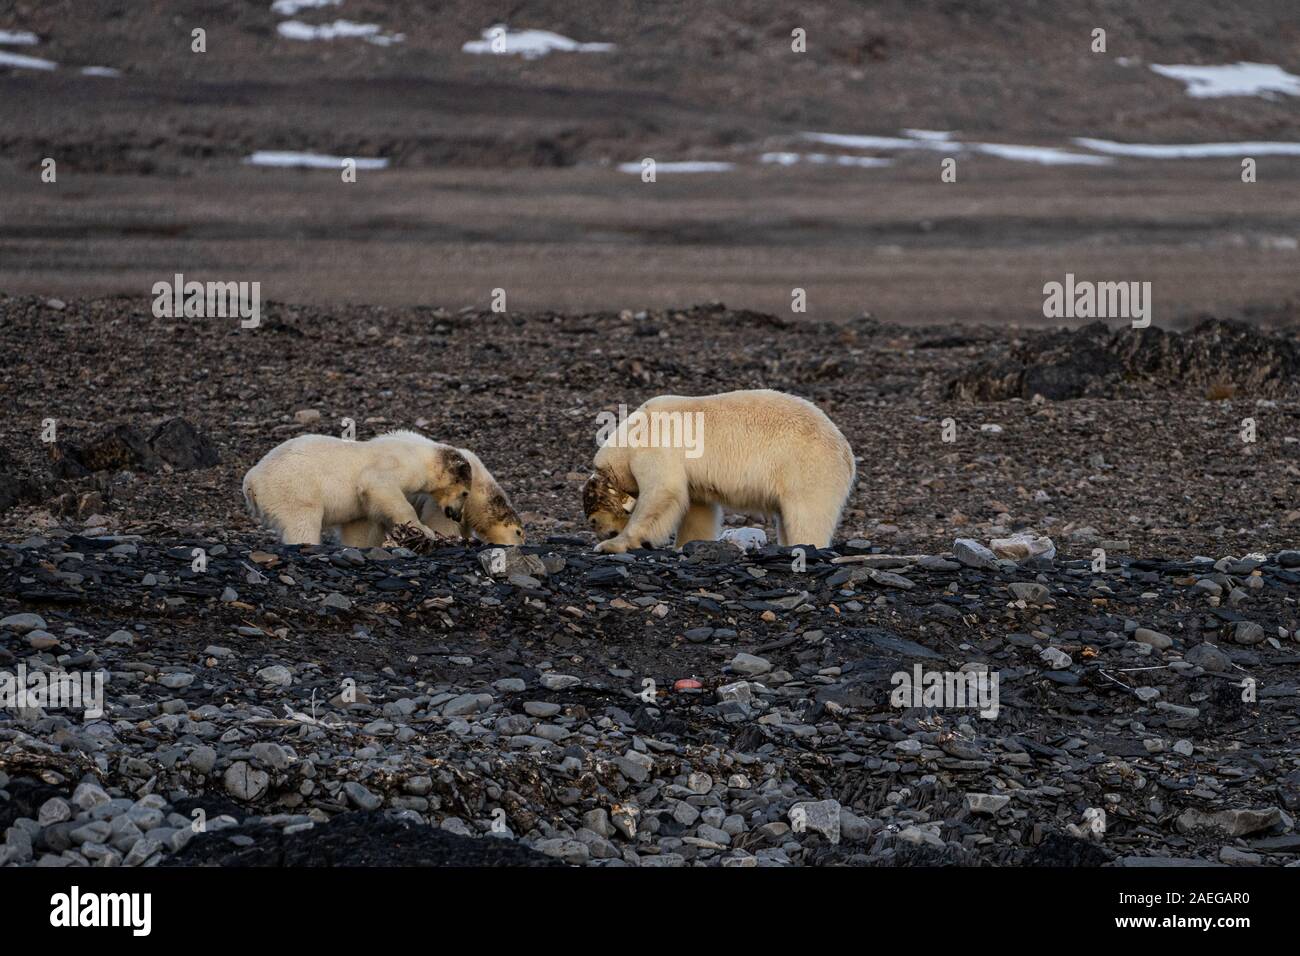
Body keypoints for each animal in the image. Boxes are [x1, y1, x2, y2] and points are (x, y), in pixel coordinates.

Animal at [243, 430, 473, 546]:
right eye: (465, 493)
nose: (455, 515)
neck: (422, 456)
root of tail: (251, 481)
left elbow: (358, 527)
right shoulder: (398, 463)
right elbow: (378, 483)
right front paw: (423, 530)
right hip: (294, 489)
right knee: (302, 523)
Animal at [582, 389, 855, 553]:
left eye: (594, 521)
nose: (604, 532)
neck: (631, 435)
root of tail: (846, 452)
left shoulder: (654, 446)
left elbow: (662, 491)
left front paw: (611, 545)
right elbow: (698, 510)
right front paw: (686, 544)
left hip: (807, 467)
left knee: (807, 516)